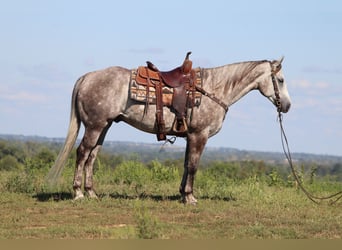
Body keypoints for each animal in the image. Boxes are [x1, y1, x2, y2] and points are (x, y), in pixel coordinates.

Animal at [46, 56, 290, 205]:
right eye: (280, 79)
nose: (287, 106)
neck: (214, 89)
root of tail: (87, 77)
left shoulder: (190, 136)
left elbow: (186, 164)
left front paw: (183, 194)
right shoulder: (199, 135)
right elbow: (193, 165)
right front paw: (190, 197)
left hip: (103, 126)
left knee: (92, 156)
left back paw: (91, 192)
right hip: (95, 126)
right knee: (82, 153)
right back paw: (78, 193)